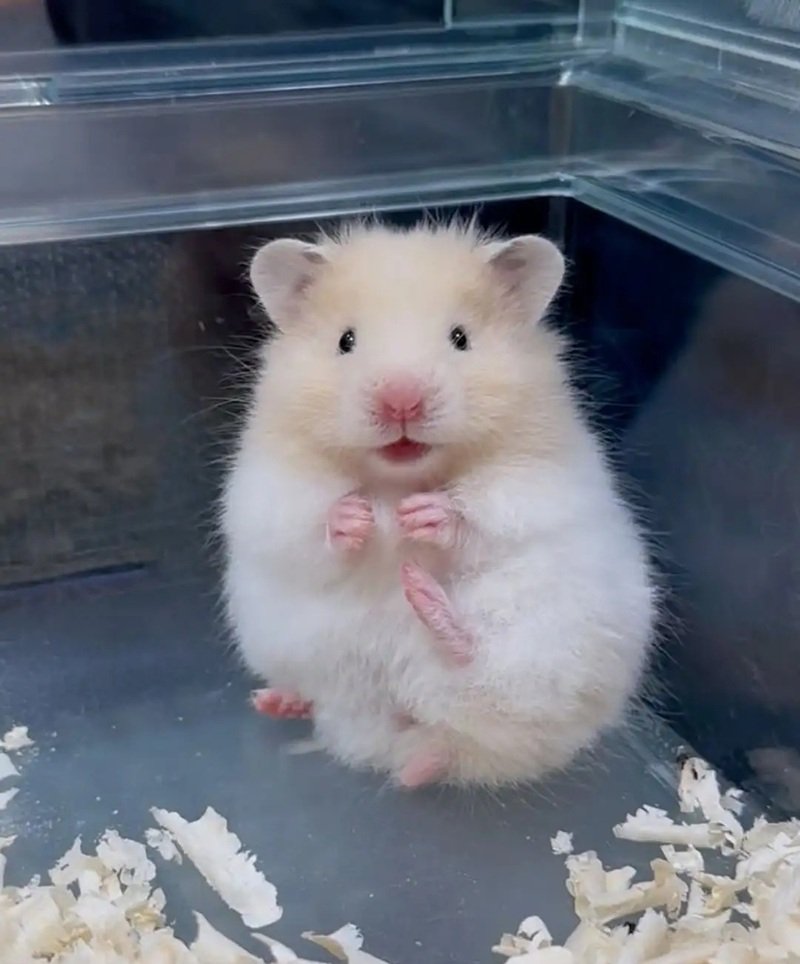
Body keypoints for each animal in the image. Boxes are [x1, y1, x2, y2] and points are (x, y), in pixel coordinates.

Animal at [221, 221, 655, 789]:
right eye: (345, 341)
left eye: (460, 338)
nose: (401, 400)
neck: (399, 479)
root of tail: (393, 741)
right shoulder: (269, 491)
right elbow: (308, 526)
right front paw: (358, 517)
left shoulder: (534, 484)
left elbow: (484, 518)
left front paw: (421, 517)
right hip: (282, 636)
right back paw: (280, 701)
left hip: (548, 626)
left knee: (483, 671)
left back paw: (425, 602)